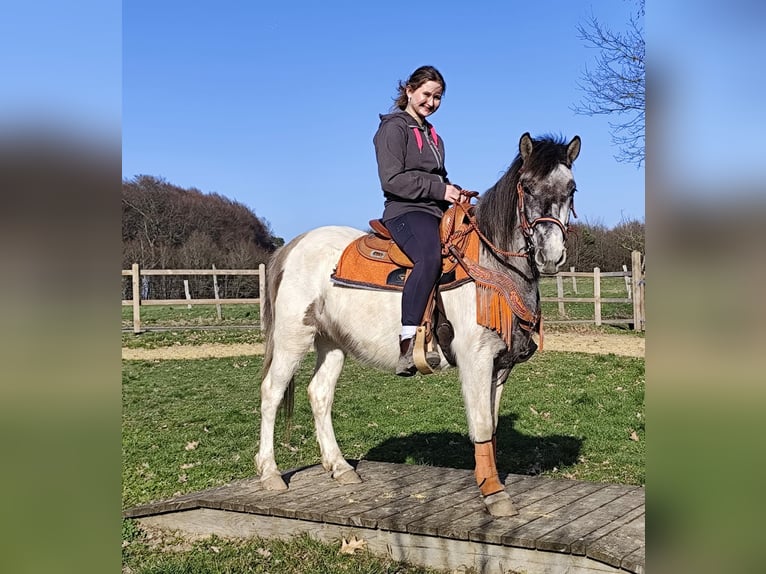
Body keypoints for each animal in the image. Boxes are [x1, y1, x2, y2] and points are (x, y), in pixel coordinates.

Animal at [255, 132, 581, 516]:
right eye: (527, 187)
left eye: (571, 188)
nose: (550, 255)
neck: (492, 266)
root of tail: (292, 246)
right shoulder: (475, 359)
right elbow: (481, 423)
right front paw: (493, 493)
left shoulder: (501, 365)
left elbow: (492, 425)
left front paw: (491, 481)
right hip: (292, 337)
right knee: (271, 393)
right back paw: (270, 473)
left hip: (332, 343)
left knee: (320, 394)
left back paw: (340, 467)